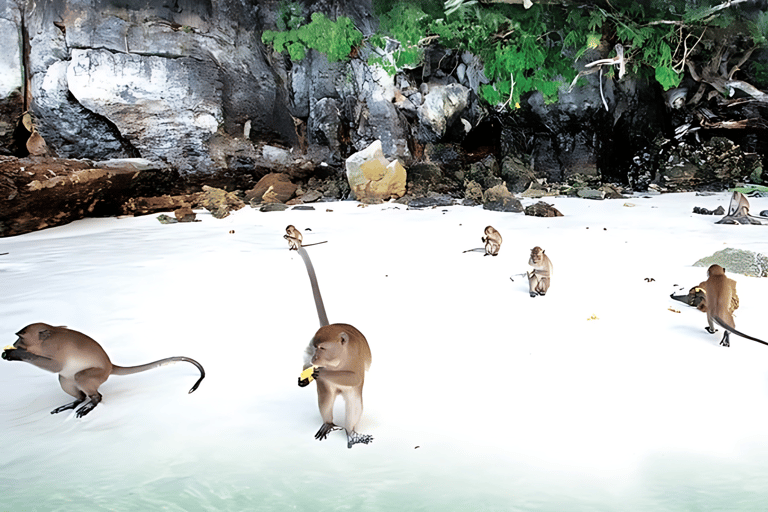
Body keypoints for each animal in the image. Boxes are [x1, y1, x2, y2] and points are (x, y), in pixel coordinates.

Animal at [292, 246, 374, 446]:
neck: (336, 360)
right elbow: (305, 364)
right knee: (326, 400)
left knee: (354, 404)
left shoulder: (354, 356)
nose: (315, 357)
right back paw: (328, 423)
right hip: (327, 389)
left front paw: (321, 373)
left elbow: (354, 377)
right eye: (314, 347)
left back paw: (351, 432)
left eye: (322, 348)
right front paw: (305, 375)